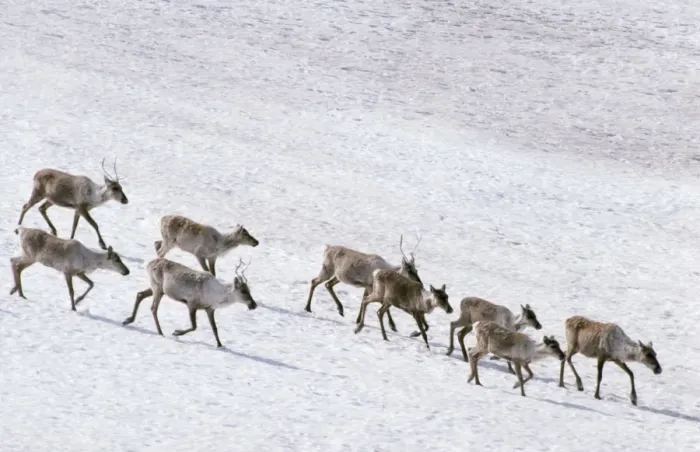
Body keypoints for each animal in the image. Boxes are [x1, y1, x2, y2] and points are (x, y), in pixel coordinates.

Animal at [122, 257, 257, 348]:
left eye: (249, 290)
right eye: (243, 291)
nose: (253, 305)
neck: (215, 296)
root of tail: (149, 264)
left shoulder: (209, 309)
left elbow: (214, 328)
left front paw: (220, 345)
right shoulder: (191, 304)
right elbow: (194, 326)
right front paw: (177, 332)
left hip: (157, 288)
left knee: (140, 294)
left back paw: (128, 320)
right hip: (158, 288)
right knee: (153, 308)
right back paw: (160, 332)